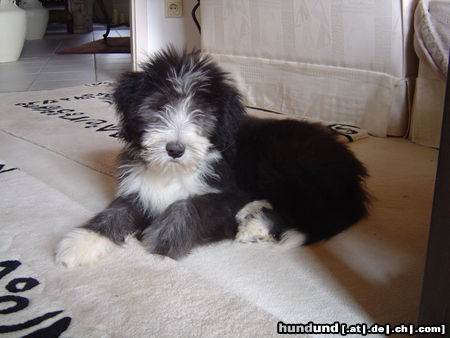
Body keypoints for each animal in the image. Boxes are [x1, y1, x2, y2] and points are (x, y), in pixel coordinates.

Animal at [55, 47, 370, 268]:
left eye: (201, 113)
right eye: (157, 107)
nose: (175, 149)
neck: (175, 170)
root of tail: (352, 174)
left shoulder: (231, 190)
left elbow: (190, 205)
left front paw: (163, 236)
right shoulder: (139, 188)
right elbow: (115, 212)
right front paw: (80, 243)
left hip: (287, 165)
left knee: (304, 212)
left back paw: (253, 224)